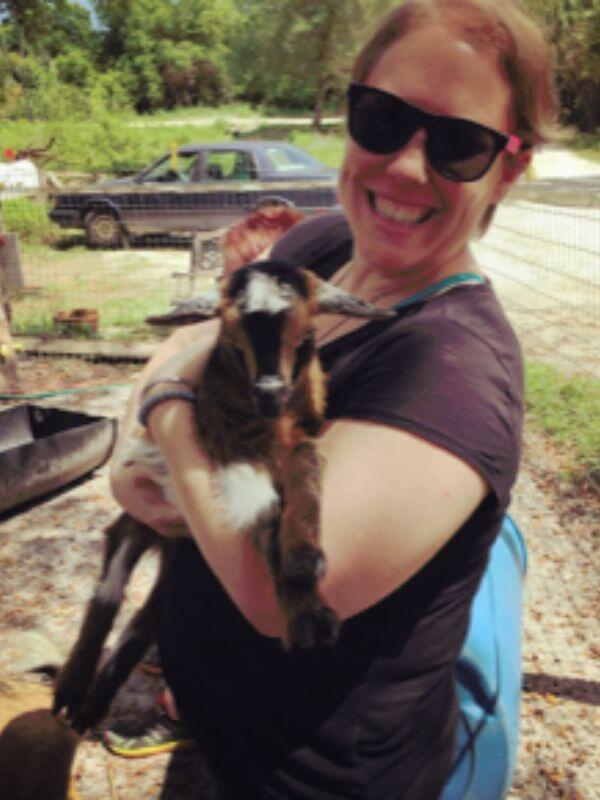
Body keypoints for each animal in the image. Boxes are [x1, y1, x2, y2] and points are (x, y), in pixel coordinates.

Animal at [52, 260, 394, 736]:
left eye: (308, 335)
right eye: (230, 338)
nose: (270, 392)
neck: (270, 423)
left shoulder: (298, 436)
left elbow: (306, 464)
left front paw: (305, 563)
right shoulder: (230, 449)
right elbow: (262, 512)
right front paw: (305, 612)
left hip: (181, 553)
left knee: (141, 626)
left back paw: (91, 709)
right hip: (137, 524)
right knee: (107, 596)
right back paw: (70, 694)